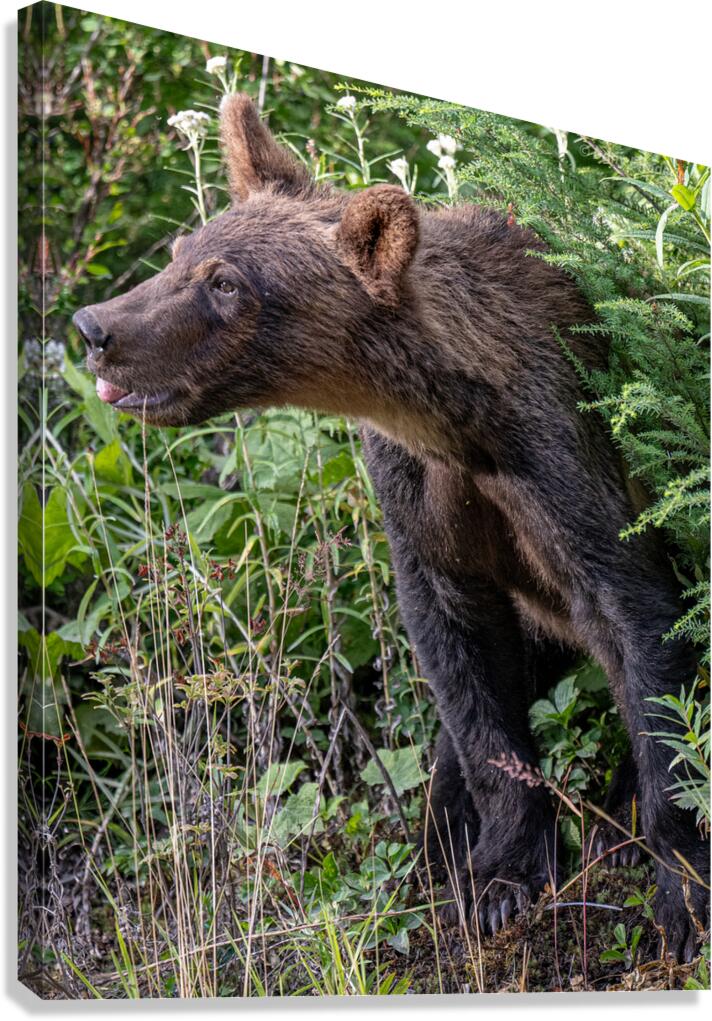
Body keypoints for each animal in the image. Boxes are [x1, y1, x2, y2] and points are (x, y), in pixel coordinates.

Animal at [73, 93, 709, 961]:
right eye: (180, 251)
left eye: (227, 282)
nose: (95, 325)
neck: (460, 425)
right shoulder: (418, 497)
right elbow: (465, 678)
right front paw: (499, 873)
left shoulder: (571, 462)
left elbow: (644, 636)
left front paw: (682, 892)